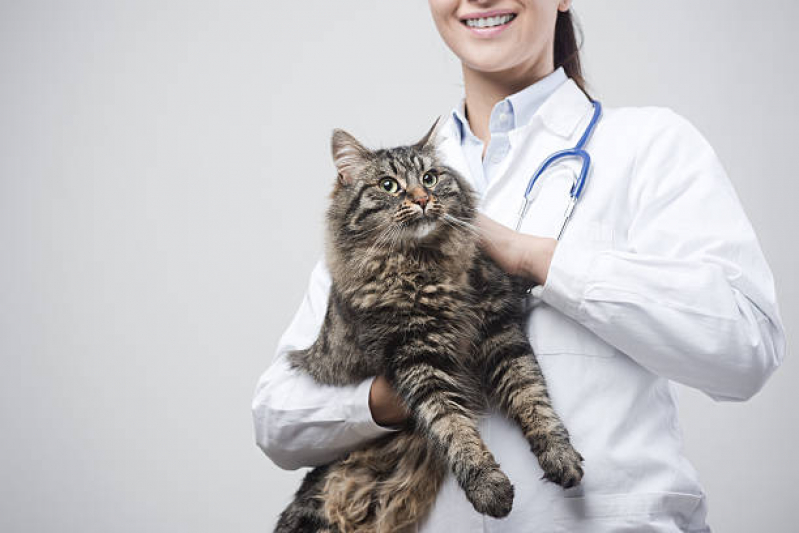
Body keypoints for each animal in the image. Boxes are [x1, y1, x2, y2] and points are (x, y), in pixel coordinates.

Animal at [274, 121, 580, 532]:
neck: (423, 264)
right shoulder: (417, 358)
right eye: (389, 185)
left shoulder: (500, 333)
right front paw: (489, 488)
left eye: (430, 178)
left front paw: (560, 455)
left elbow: (532, 397)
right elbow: (452, 425)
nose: (421, 199)